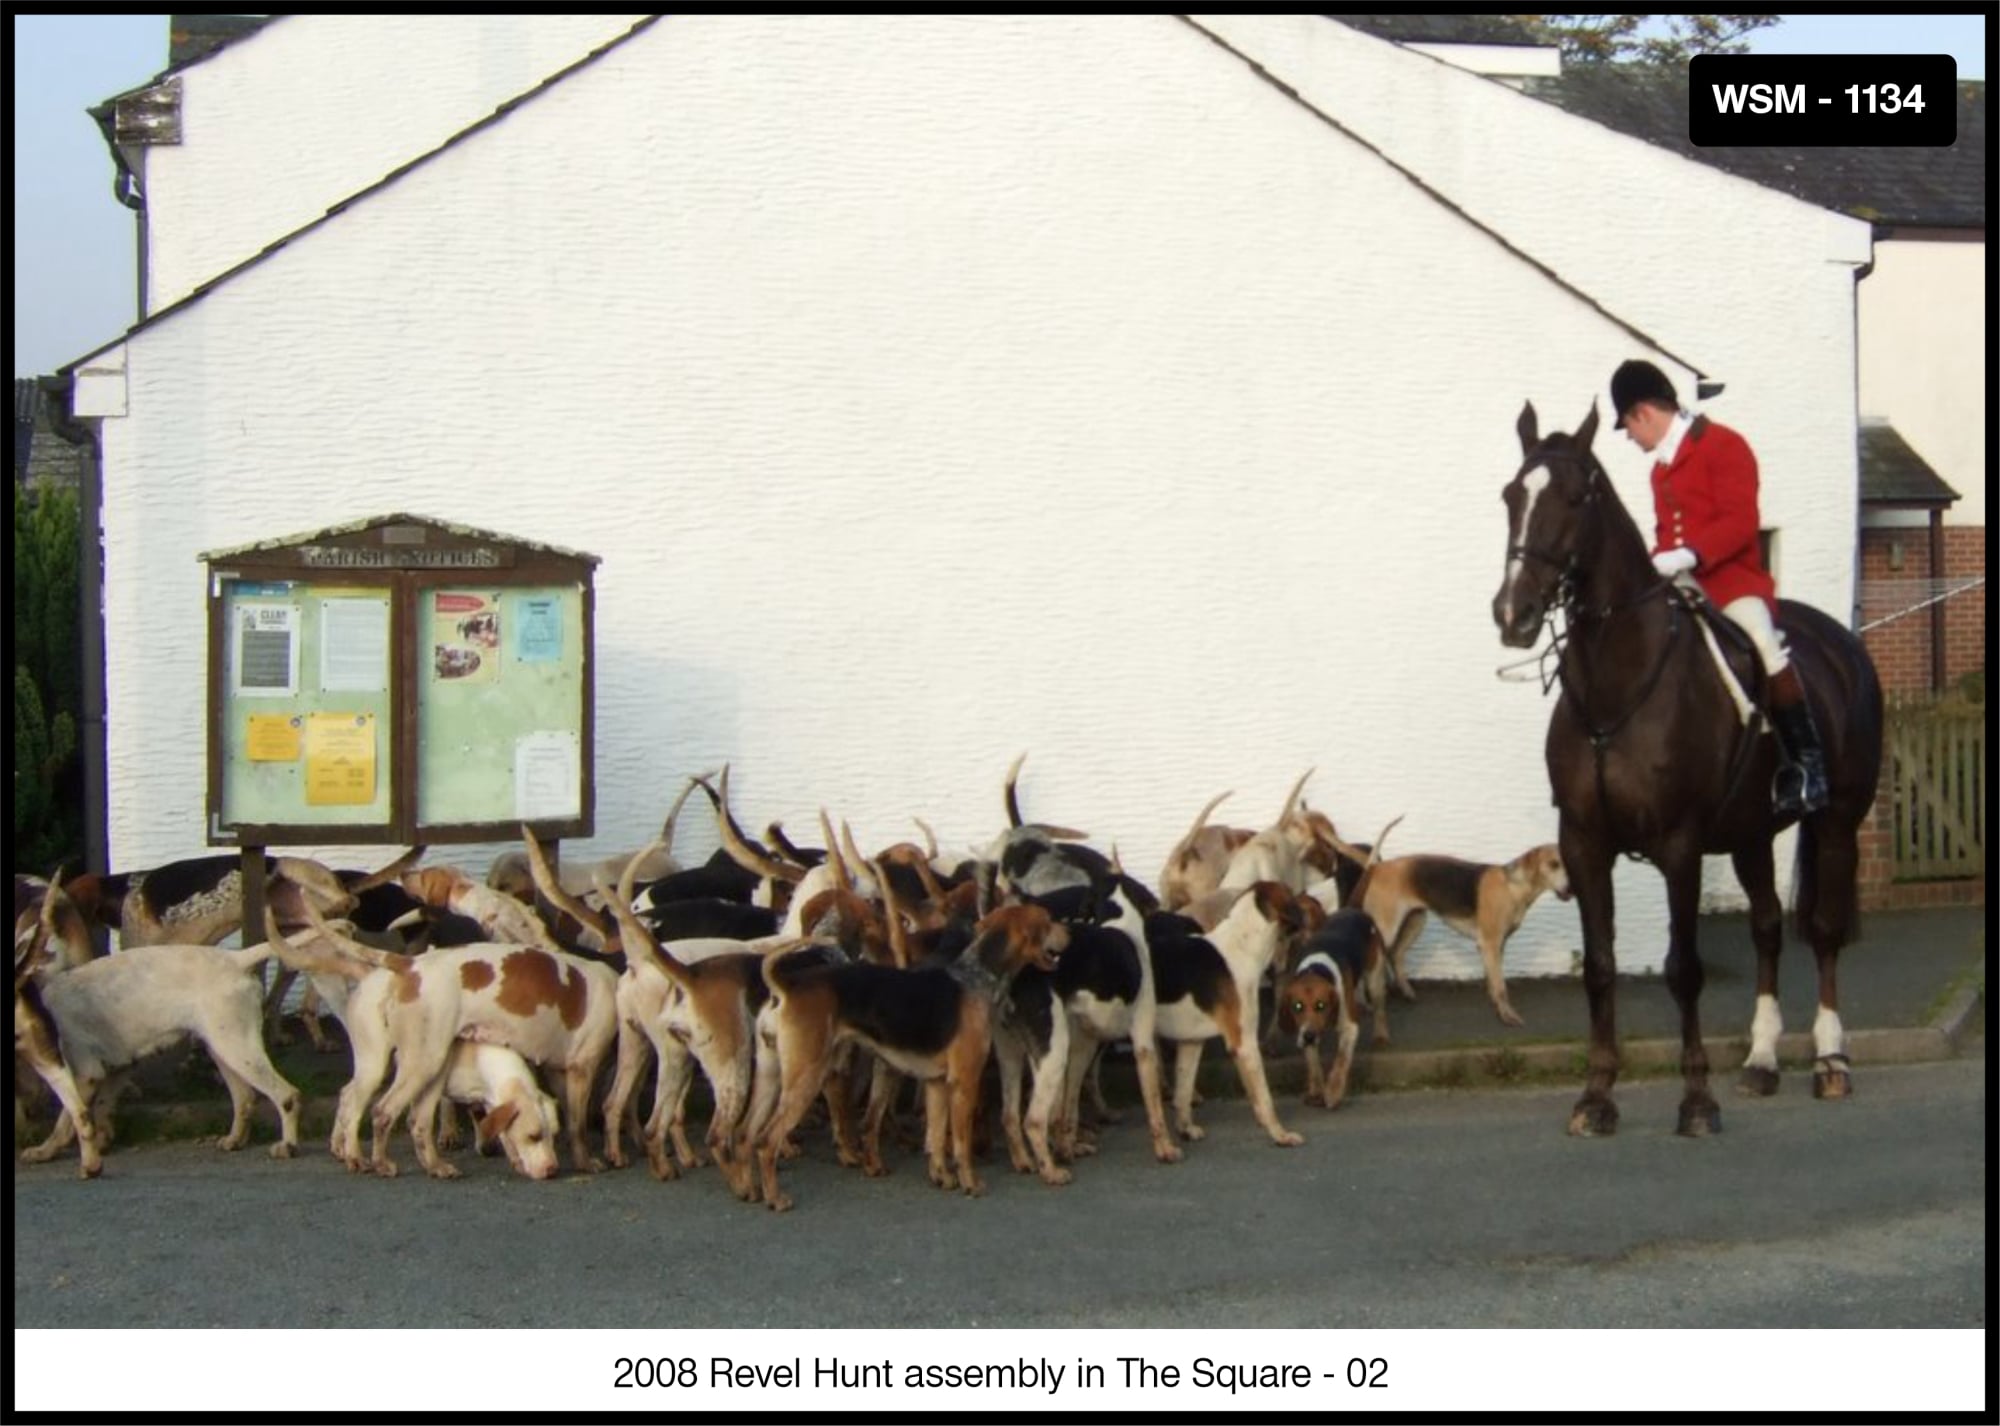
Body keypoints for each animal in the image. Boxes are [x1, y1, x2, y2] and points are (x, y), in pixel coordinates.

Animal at [1496, 400, 1880, 1136]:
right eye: (1510, 496)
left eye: (1576, 497)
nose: (1513, 613)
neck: (1615, 684)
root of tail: (1841, 642)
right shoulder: (1584, 843)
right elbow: (1600, 966)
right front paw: (1597, 1097)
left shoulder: (1679, 845)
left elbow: (1685, 969)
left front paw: (1697, 1098)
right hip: (1753, 833)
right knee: (1766, 929)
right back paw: (1761, 1060)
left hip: (1839, 822)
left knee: (1821, 932)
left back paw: (1831, 1061)